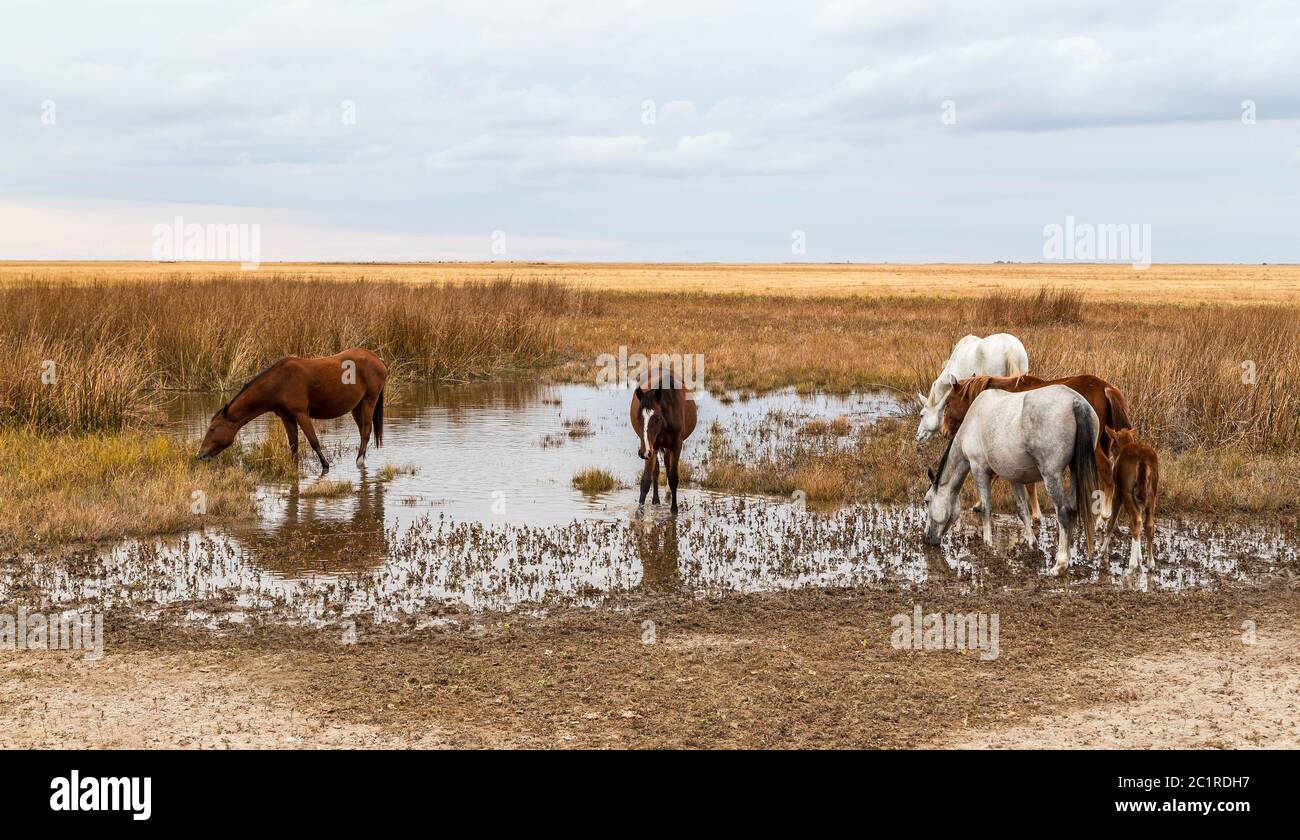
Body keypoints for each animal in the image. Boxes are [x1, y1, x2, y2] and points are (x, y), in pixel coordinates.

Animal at [192, 348, 384, 478]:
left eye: (212, 429)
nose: (201, 454)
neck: (279, 382)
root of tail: (378, 360)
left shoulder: (301, 413)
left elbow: (314, 442)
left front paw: (325, 466)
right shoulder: (287, 417)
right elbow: (293, 444)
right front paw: (293, 467)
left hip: (369, 400)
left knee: (366, 432)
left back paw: (359, 461)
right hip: (357, 407)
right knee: (363, 431)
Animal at [626, 382, 696, 512]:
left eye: (657, 418)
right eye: (638, 417)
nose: (643, 453)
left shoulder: (676, 446)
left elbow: (673, 478)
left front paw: (674, 509)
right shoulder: (652, 447)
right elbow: (646, 479)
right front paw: (639, 510)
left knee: (668, 466)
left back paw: (668, 494)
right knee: (657, 470)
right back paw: (656, 500)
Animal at [925, 387, 1097, 579]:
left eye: (926, 501)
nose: (927, 539)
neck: (972, 422)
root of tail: (1075, 402)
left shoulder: (979, 470)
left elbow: (986, 508)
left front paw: (988, 543)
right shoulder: (1015, 478)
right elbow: (1023, 511)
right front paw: (1032, 543)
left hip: (1051, 476)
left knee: (1064, 513)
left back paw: (1060, 564)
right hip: (1074, 470)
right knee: (1072, 510)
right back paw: (1068, 555)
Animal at [941, 374, 1133, 512]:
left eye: (948, 402)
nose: (943, 431)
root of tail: (1105, 387)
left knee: (1106, 472)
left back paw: (1104, 516)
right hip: (1105, 442)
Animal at [1097, 429, 1159, 572]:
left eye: (1113, 445)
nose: (1112, 457)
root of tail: (1143, 461)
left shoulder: (1118, 493)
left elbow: (1111, 522)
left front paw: (1102, 551)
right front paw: (1140, 557)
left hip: (1127, 492)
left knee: (1136, 521)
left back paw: (1131, 565)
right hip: (1151, 494)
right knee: (1148, 524)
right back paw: (1151, 562)